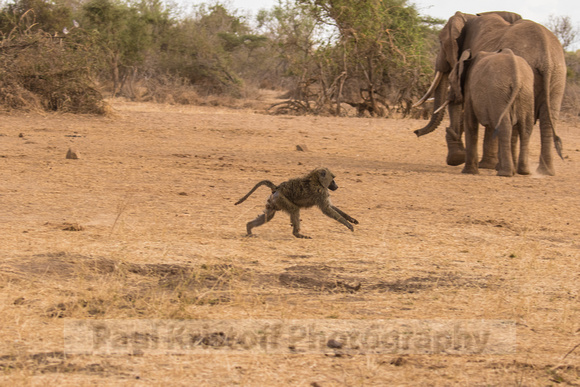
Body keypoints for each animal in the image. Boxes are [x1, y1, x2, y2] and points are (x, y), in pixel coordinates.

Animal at [448, 48, 536, 177]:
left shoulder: (470, 89)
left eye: (450, 82)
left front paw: (469, 172)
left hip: (499, 93)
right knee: (525, 128)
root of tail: (516, 75)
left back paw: (505, 173)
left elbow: (470, 123)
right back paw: (523, 172)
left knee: (504, 128)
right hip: (525, 94)